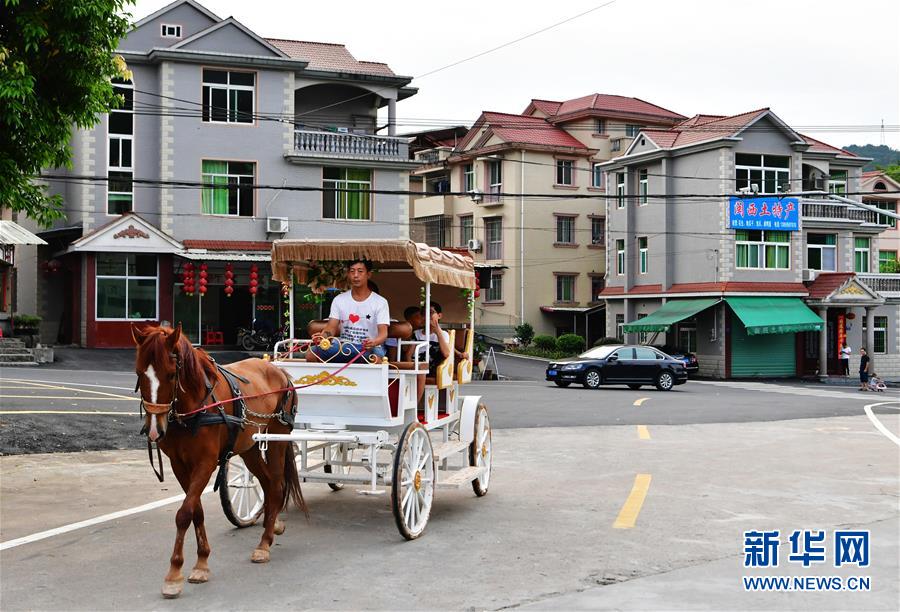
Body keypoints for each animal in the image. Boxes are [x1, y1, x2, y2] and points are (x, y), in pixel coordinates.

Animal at [131, 326, 306, 596]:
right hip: (250, 448)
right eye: (140, 373)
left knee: (277, 486)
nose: (153, 430)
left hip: (277, 438)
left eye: (171, 375)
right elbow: (196, 510)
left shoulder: (205, 463)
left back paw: (264, 544)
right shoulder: (179, 465)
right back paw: (273, 524)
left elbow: (184, 513)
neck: (194, 407)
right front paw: (201, 562)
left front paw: (174, 574)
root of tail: (278, 371)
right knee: (267, 485)